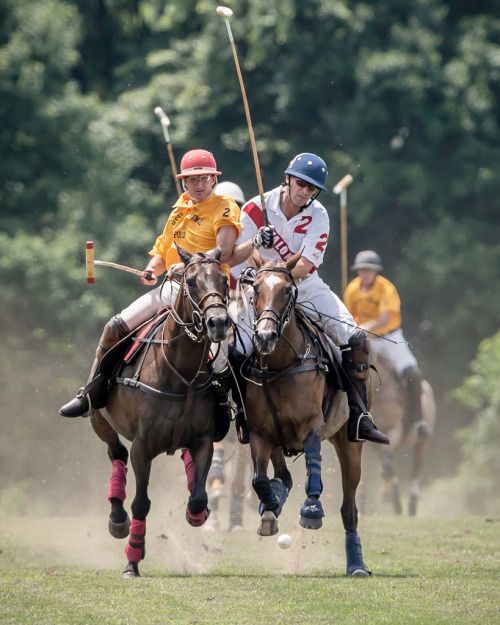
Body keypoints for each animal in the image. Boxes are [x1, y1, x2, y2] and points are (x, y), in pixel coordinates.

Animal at [90, 246, 230, 576]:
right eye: (190, 282)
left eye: (224, 280)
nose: (218, 323)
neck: (181, 371)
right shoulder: (143, 446)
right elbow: (141, 502)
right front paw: (132, 560)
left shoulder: (204, 441)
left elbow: (198, 498)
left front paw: (199, 514)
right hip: (99, 418)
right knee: (116, 452)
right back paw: (117, 520)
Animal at [244, 255, 370, 576]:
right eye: (256, 289)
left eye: (288, 290)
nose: (265, 336)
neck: (280, 365)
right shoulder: (260, 432)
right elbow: (259, 479)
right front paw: (270, 507)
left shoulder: (312, 423)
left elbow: (313, 458)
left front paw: (311, 508)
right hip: (278, 439)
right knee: (283, 476)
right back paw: (274, 502)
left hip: (350, 444)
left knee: (349, 509)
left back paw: (357, 564)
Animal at [368, 354, 438, 516]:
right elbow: (385, 466)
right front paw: (391, 495)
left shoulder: (394, 430)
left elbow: (387, 464)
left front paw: (391, 496)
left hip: (422, 443)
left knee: (416, 469)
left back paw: (412, 504)